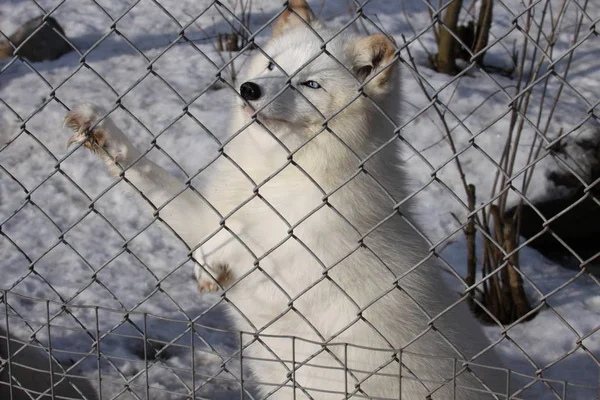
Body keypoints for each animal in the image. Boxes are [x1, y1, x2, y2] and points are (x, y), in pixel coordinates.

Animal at [63, 1, 504, 398]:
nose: (249, 89)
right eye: (273, 67)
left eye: (310, 85)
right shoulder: (211, 216)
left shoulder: (303, 261)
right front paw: (100, 130)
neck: (273, 174)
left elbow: (252, 238)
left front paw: (211, 262)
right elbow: (155, 181)